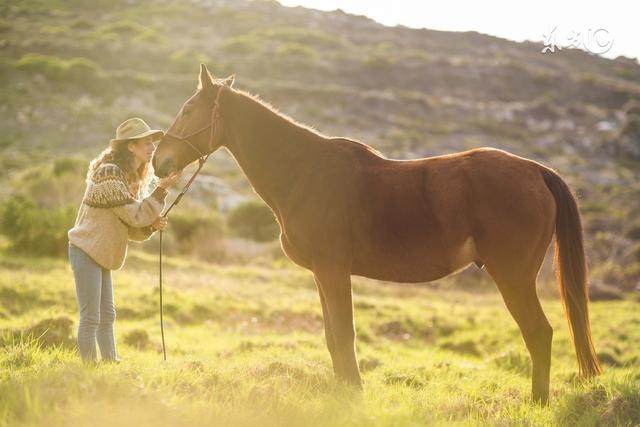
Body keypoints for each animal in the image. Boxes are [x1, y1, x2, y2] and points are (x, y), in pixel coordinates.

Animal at [152, 64, 604, 404]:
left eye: (189, 109)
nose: (160, 161)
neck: (304, 172)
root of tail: (536, 170)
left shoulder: (334, 271)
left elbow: (345, 335)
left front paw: (353, 393)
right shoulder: (323, 275)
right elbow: (332, 338)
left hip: (513, 277)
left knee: (538, 334)